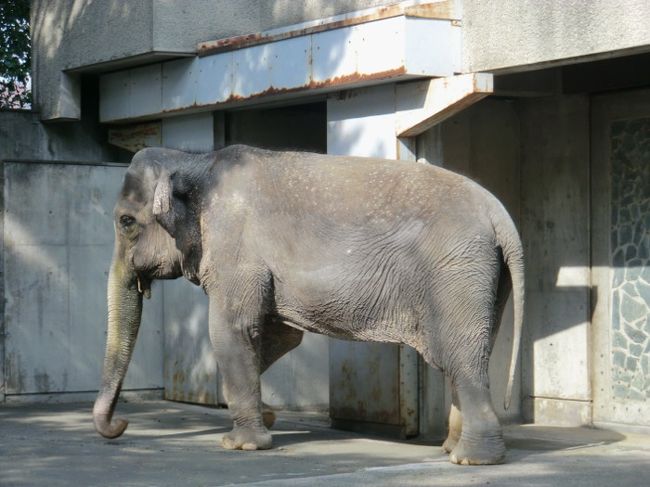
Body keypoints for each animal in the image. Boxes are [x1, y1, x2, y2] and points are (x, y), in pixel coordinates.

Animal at [93, 144, 524, 466]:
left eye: (126, 222)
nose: (120, 426)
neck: (194, 160)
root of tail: (500, 214)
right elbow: (280, 337)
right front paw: (265, 416)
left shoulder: (236, 248)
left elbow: (232, 329)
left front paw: (240, 445)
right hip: (486, 275)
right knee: (469, 353)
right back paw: (451, 448)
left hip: (456, 272)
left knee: (459, 357)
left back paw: (471, 459)